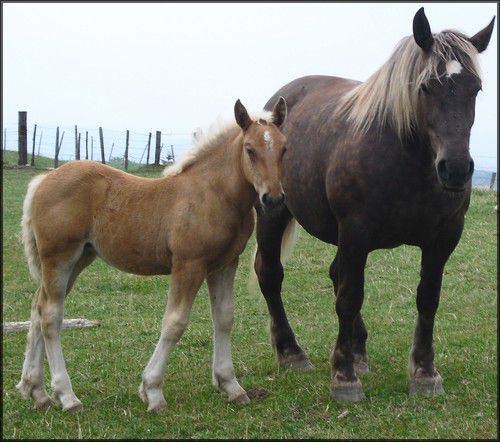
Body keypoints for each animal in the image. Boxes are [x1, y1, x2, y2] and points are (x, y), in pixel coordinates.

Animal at [16, 97, 288, 413]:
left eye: (284, 148)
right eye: (249, 149)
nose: (274, 199)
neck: (212, 194)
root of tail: (43, 179)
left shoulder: (224, 264)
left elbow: (224, 318)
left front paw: (231, 385)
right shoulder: (188, 265)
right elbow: (175, 323)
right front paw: (153, 391)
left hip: (78, 259)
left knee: (38, 307)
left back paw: (37, 391)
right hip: (59, 257)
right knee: (50, 314)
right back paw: (67, 396)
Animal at [252, 8, 495, 401]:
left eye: (475, 88)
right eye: (426, 87)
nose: (456, 169)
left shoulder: (443, 239)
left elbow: (428, 298)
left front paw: (425, 373)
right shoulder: (356, 231)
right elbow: (349, 298)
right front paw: (345, 378)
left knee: (334, 273)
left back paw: (357, 350)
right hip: (273, 213)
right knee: (271, 274)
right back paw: (292, 353)